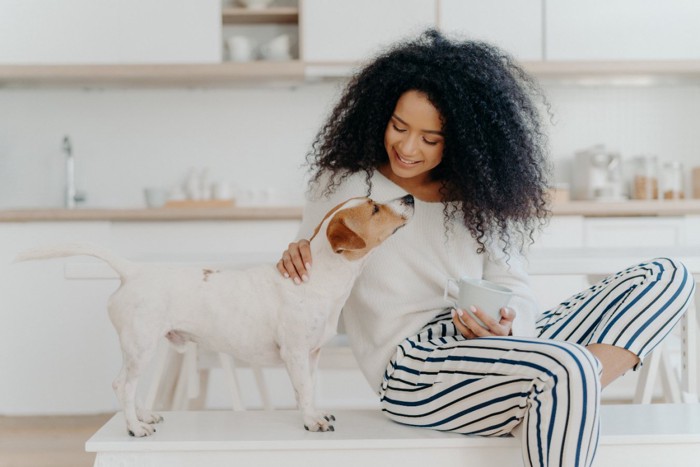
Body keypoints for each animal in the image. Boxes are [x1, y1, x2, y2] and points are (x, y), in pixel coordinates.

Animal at [16, 194, 412, 436]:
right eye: (374, 208)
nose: (408, 197)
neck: (321, 279)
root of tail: (133, 270)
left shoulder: (312, 354)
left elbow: (310, 390)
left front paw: (315, 412)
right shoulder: (296, 354)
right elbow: (301, 391)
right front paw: (311, 422)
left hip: (141, 349)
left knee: (130, 385)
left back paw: (143, 415)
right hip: (141, 345)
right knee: (122, 385)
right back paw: (135, 427)